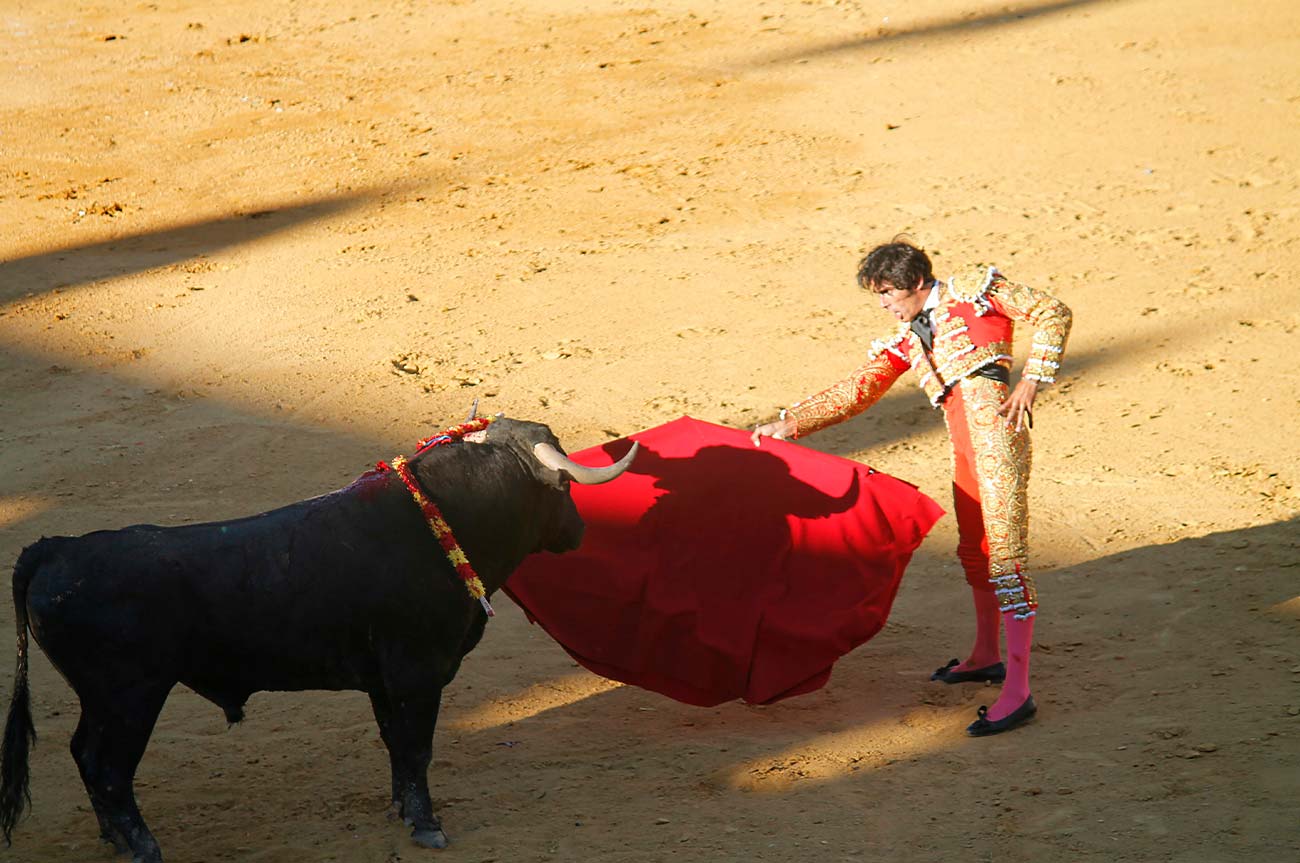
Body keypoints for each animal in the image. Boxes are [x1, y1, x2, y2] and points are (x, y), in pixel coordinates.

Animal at [0, 415, 634, 857]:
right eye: (563, 489)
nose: (579, 531)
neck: (443, 521)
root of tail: (54, 548)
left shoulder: (384, 681)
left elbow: (397, 747)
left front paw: (403, 812)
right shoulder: (417, 673)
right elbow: (418, 747)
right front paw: (428, 826)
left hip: (103, 700)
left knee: (84, 756)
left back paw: (114, 839)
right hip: (130, 697)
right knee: (108, 769)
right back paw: (143, 847)